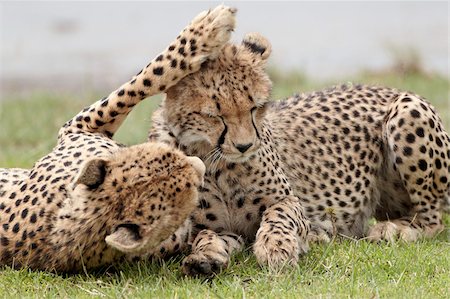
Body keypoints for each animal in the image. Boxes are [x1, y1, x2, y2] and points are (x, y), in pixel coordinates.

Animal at [0, 4, 237, 274]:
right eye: (188, 190)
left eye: (165, 156)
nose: (199, 166)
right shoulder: (78, 127)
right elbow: (143, 81)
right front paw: (205, 32)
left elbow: (132, 89)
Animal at [149, 32, 448, 276]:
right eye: (214, 115)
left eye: (256, 107)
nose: (245, 146)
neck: (217, 162)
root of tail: (386, 87)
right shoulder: (218, 228)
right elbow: (207, 236)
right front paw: (205, 258)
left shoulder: (290, 202)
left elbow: (279, 216)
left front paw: (277, 248)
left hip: (407, 110)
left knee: (432, 218)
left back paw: (394, 229)